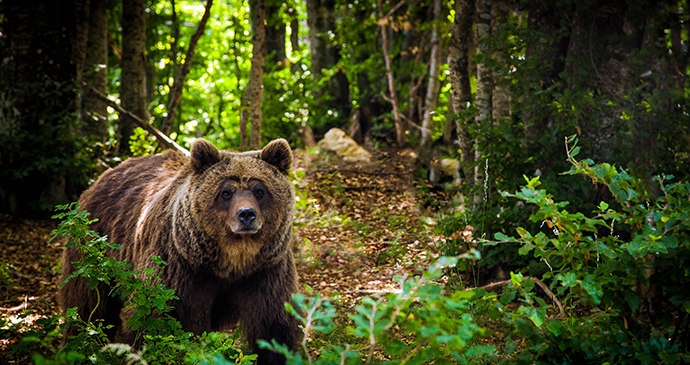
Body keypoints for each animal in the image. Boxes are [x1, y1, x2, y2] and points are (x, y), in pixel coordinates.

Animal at [57, 139, 298, 364]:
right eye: (226, 192)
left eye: (260, 190)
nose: (246, 214)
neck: (230, 262)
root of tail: (105, 174)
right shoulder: (178, 269)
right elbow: (157, 323)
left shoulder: (266, 271)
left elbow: (275, 328)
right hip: (95, 251)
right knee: (88, 308)